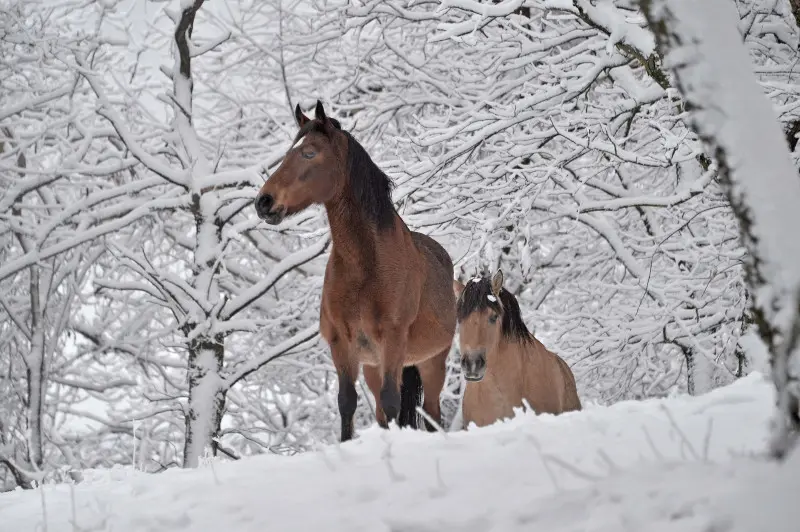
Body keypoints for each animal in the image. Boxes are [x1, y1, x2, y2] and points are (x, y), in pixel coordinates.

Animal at [256, 100, 456, 440]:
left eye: (309, 152)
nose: (263, 202)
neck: (365, 266)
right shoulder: (342, 344)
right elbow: (347, 403)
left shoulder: (393, 341)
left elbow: (392, 403)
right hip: (376, 367)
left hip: (431, 364)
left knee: (430, 416)